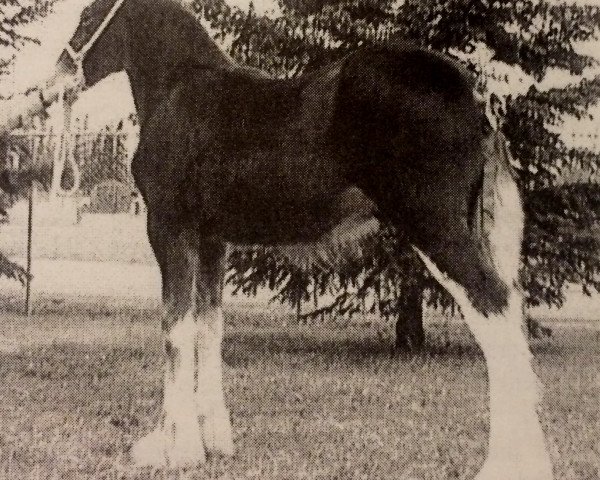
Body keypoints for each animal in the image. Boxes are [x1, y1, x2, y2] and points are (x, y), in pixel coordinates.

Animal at [0, 0, 552, 476]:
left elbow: (175, 328)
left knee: (495, 316)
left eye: (87, 15)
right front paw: (212, 441)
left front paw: (175, 449)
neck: (181, 89)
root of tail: (472, 98)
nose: (53, 81)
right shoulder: (213, 240)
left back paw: (505, 465)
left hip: (436, 229)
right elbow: (208, 329)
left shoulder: (169, 229)